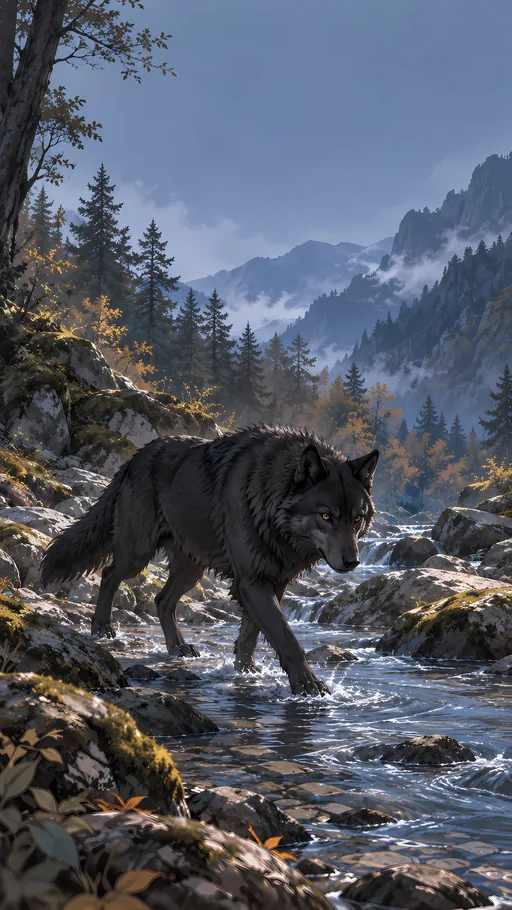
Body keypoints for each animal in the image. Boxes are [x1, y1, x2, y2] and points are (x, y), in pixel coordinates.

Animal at [41, 425, 378, 696]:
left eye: (357, 519)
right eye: (326, 516)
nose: (353, 562)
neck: (268, 503)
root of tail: (136, 456)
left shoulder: (273, 581)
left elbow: (250, 634)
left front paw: (245, 671)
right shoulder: (251, 581)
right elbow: (287, 638)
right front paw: (308, 686)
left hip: (192, 569)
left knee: (162, 600)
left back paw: (178, 648)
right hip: (137, 553)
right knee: (110, 573)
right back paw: (102, 628)